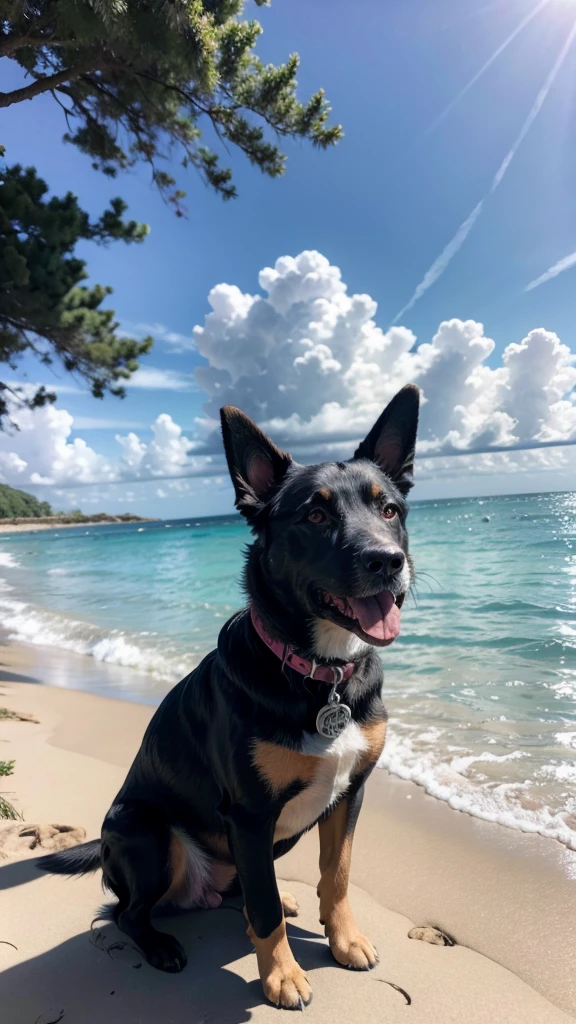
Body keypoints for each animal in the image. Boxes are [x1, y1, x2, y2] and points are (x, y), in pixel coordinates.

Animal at [40, 382, 416, 1007]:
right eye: (314, 514)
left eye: (389, 509)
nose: (388, 562)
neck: (320, 673)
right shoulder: (249, 812)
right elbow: (263, 912)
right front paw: (281, 975)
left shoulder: (350, 794)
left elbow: (335, 876)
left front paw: (344, 940)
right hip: (144, 829)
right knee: (128, 911)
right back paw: (160, 944)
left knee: (245, 886)